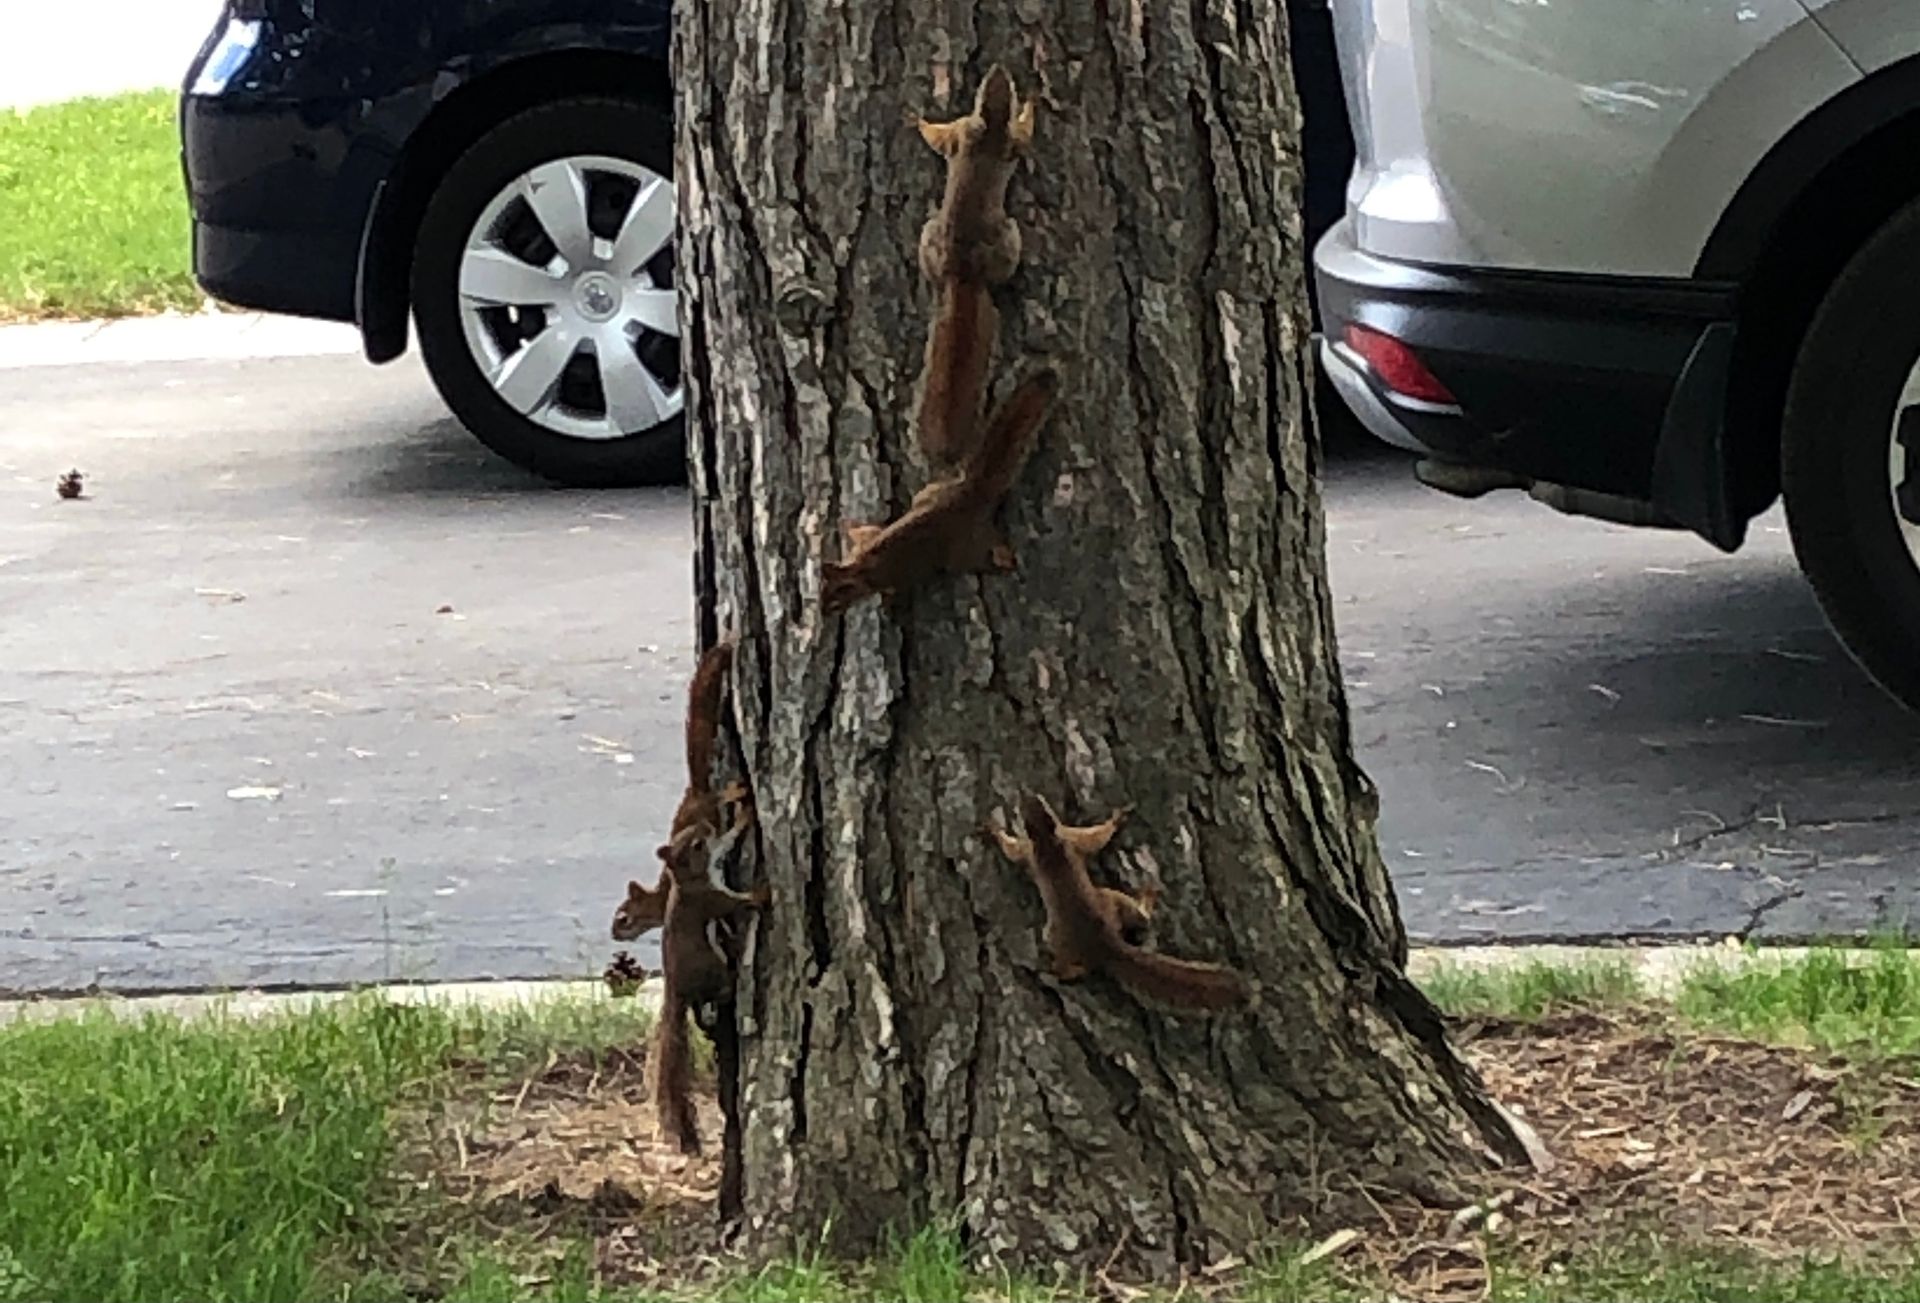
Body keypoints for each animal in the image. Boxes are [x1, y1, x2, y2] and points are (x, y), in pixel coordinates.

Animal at [651, 810, 768, 1155]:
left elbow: (729, 839)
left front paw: (742, 815)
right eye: (696, 844)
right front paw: (761, 892)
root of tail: (676, 990)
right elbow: (736, 902)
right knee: (722, 988)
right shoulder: (712, 900)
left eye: (694, 833)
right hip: (711, 965)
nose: (706, 824)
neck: (688, 880)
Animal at [821, 367, 1059, 615]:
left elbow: (892, 589)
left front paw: (887, 605)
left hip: (966, 548)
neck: (863, 567)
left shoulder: (888, 578)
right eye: (821, 591)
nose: (823, 613)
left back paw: (1005, 560)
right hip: (930, 493)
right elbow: (866, 531)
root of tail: (970, 495)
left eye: (837, 603)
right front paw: (848, 525)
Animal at [913, 65, 1035, 467]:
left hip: (930, 235)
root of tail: (962, 273)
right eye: (995, 84)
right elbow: (1026, 134)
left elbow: (939, 138)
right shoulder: (988, 134)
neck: (990, 123)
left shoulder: (963, 132)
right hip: (1008, 236)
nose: (999, 68)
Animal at [993, 794, 1249, 1012]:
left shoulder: (1065, 840)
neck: (1046, 839)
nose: (1027, 795)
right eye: (1028, 808)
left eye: (1041, 805)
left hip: (1096, 909)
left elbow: (1096, 838)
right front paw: (996, 832)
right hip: (1096, 910)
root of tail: (1105, 943)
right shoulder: (1048, 845)